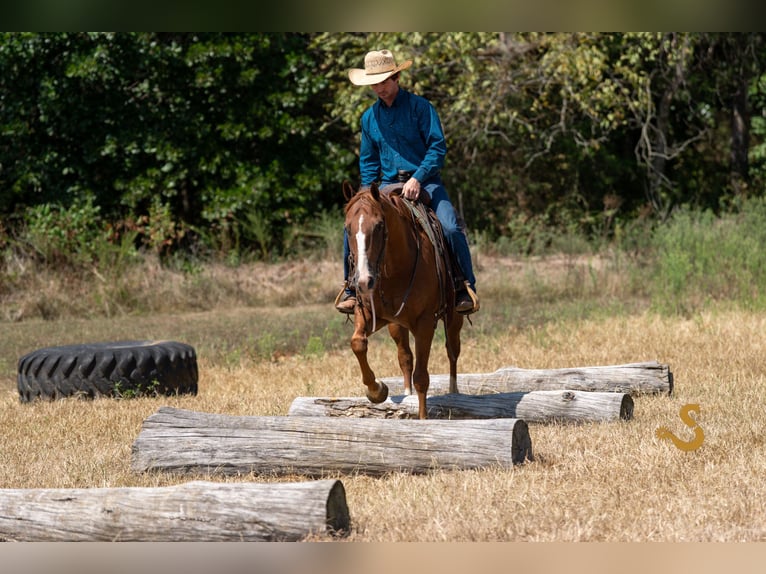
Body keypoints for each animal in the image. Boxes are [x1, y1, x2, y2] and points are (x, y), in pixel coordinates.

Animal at [342, 180, 464, 420]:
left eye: (379, 225)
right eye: (347, 228)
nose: (363, 281)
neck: (394, 271)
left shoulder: (425, 323)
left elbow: (422, 377)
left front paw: (423, 419)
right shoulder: (368, 314)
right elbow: (358, 343)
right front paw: (377, 390)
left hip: (454, 319)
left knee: (452, 351)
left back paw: (454, 392)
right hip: (396, 326)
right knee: (405, 357)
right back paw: (406, 393)